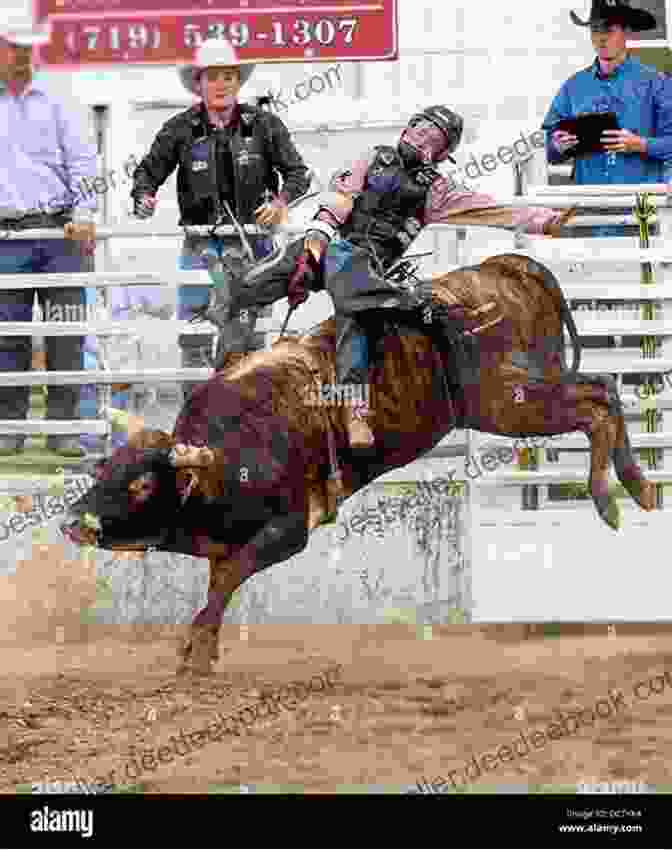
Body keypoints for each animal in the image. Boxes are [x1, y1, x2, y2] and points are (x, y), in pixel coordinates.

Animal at [61, 230, 652, 668]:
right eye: (105, 469)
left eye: (141, 482)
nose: (72, 521)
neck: (225, 455)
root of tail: (508, 268)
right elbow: (216, 586)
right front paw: (198, 647)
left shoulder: (289, 530)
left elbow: (229, 579)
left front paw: (198, 654)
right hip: (530, 389)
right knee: (604, 391)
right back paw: (638, 486)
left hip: (511, 401)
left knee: (595, 407)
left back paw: (612, 499)